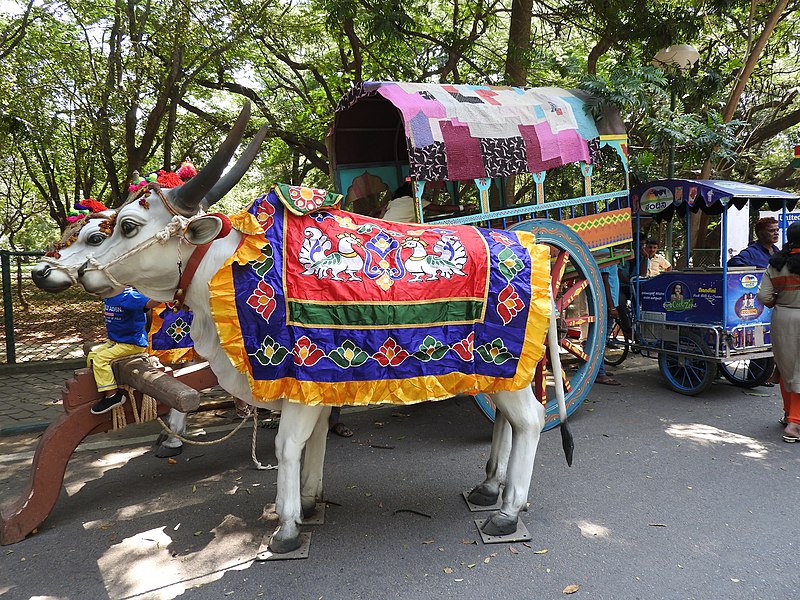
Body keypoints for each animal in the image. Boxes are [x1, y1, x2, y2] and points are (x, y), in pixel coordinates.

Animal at [67, 102, 568, 552]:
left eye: (127, 226)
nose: (84, 272)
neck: (230, 266)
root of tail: (533, 245)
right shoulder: (315, 384)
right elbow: (315, 438)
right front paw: (309, 502)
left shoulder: (295, 376)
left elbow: (287, 445)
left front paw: (287, 526)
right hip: (499, 370)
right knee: (506, 420)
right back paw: (489, 488)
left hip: (503, 364)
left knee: (529, 419)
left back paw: (508, 511)